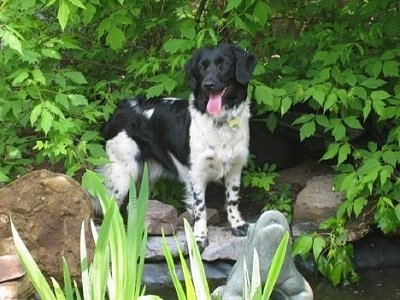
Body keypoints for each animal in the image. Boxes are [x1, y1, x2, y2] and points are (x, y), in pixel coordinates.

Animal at [96, 42, 256, 248]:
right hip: (124, 173)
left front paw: (237, 225)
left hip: (146, 176)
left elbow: (232, 200)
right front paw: (199, 237)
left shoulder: (235, 168)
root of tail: (121, 108)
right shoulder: (196, 173)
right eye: (201, 67)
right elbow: (200, 208)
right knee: (110, 206)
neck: (220, 122)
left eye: (224, 64)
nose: (208, 84)